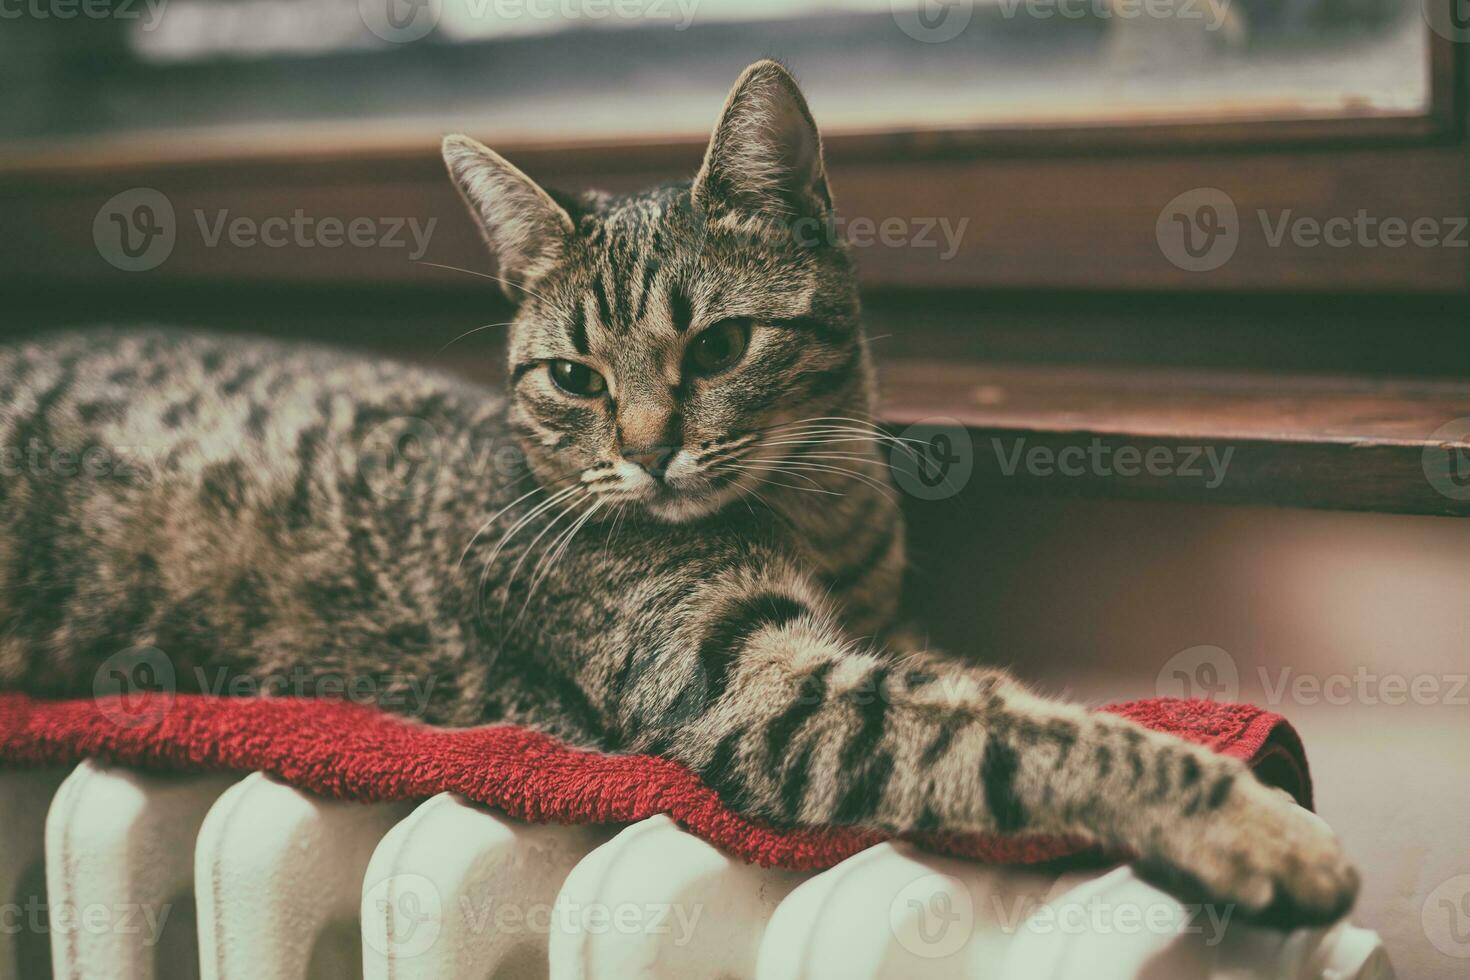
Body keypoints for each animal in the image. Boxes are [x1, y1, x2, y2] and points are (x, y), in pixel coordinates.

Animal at [0, 61, 1352, 928]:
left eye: (719, 346)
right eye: (574, 376)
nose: (649, 448)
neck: (822, 514)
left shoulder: (879, 635)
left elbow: (993, 688)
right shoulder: (767, 689)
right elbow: (1016, 731)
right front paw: (1254, 823)